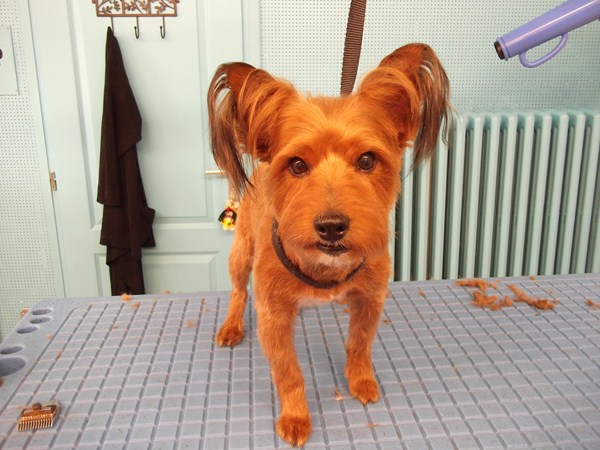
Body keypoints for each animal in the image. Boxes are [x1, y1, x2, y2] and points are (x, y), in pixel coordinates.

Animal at [207, 43, 450, 446]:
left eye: (367, 160)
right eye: (297, 164)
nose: (331, 226)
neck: (323, 268)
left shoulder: (370, 299)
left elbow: (359, 344)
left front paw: (361, 379)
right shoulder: (273, 316)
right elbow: (288, 372)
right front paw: (295, 416)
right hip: (240, 252)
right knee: (238, 291)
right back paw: (231, 326)